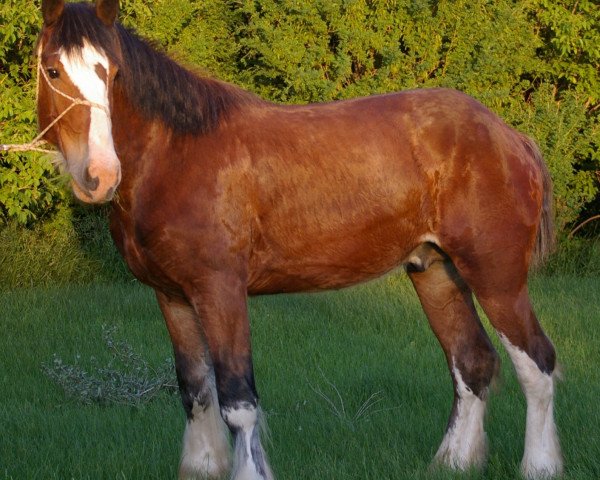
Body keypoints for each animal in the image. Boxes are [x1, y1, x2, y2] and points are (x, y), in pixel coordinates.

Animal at [37, 1, 564, 478]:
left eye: (112, 74)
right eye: (54, 70)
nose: (99, 175)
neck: (176, 155)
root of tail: (511, 137)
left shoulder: (220, 290)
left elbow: (237, 400)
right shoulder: (173, 296)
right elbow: (195, 390)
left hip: (497, 277)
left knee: (537, 363)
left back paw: (540, 466)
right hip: (436, 272)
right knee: (472, 362)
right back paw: (453, 462)